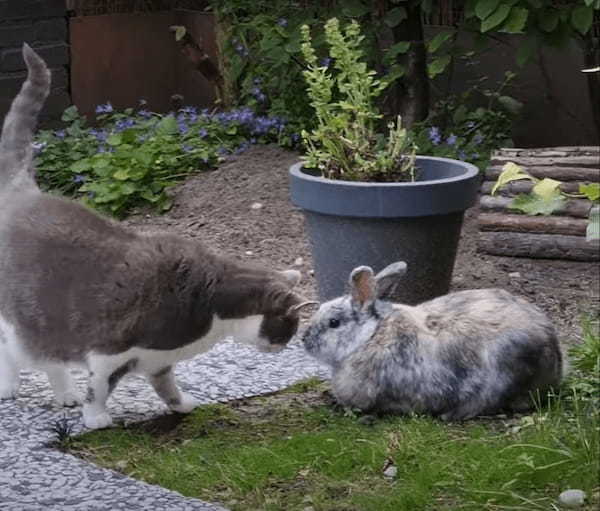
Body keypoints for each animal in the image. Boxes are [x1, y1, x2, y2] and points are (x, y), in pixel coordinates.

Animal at [0, 44, 308, 430]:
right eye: (289, 327)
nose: (281, 347)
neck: (211, 308)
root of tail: (23, 189)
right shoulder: (109, 350)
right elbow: (99, 387)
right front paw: (96, 418)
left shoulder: (158, 359)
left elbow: (167, 386)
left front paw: (182, 405)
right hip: (21, 318)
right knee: (11, 350)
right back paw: (10, 387)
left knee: (49, 359)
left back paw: (65, 394)